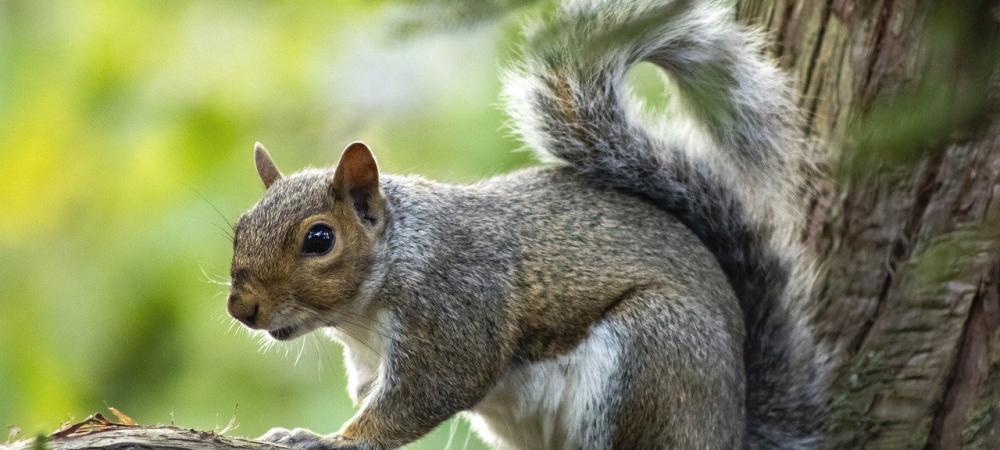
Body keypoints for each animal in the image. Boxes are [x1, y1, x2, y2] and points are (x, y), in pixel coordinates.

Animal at [226, 0, 828, 448]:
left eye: (319, 239)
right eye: (239, 228)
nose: (241, 308)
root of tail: (729, 424)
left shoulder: (458, 310)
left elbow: (422, 397)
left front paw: (327, 439)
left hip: (655, 355)